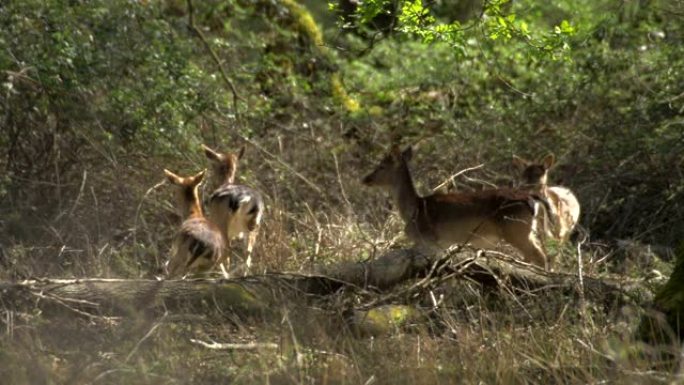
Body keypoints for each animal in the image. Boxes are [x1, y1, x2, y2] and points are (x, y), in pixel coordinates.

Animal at [202, 142, 264, 274]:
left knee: (227, 253)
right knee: (247, 255)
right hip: (254, 226)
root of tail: (245, 200)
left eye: (213, 165)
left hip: (222, 224)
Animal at [364, 146, 552, 268]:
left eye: (381, 166)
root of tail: (531, 197)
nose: (366, 179)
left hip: (515, 229)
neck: (414, 210)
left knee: (539, 256)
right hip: (526, 230)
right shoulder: (442, 244)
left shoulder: (428, 240)